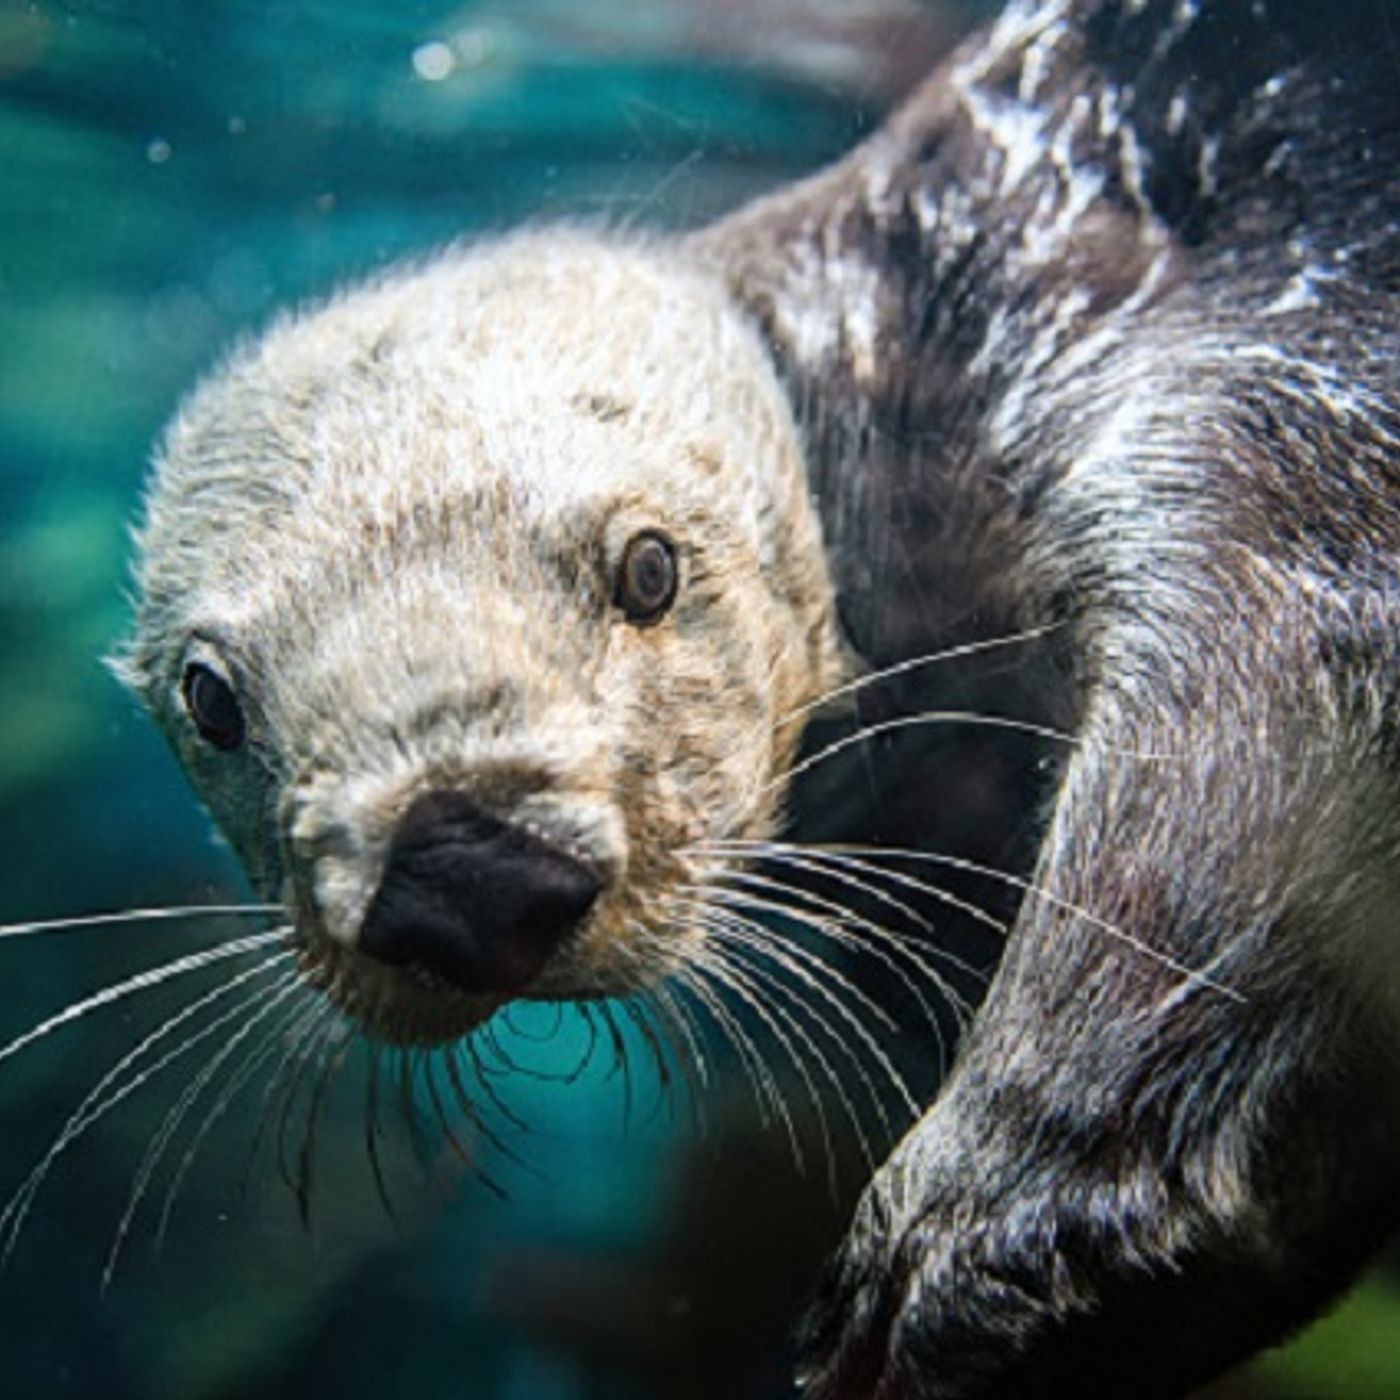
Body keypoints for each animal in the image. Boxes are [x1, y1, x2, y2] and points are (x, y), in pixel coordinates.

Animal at [116, 0, 1399, 1396]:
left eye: (649, 567)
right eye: (211, 698)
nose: (463, 863)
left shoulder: (1246, 362)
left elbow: (1269, 659)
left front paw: (992, 1225)